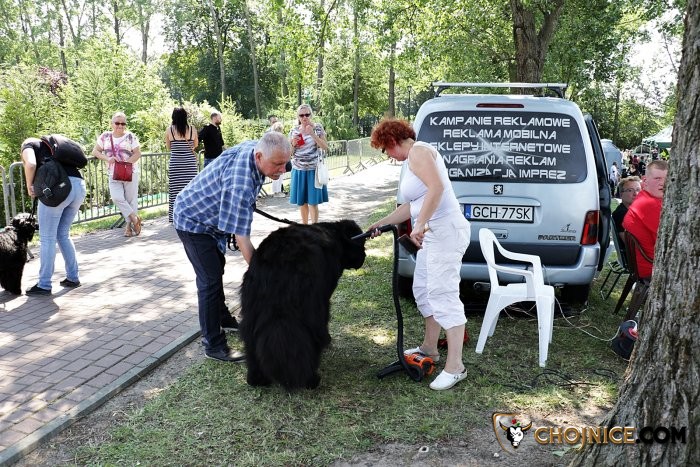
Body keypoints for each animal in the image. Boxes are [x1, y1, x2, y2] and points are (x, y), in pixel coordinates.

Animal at [240, 219, 367, 391]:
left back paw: (256, 379)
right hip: (310, 308)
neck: (336, 234)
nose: (365, 256)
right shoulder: (324, 297)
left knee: (251, 341)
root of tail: (278, 259)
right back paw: (311, 379)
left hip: (252, 308)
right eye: (362, 243)